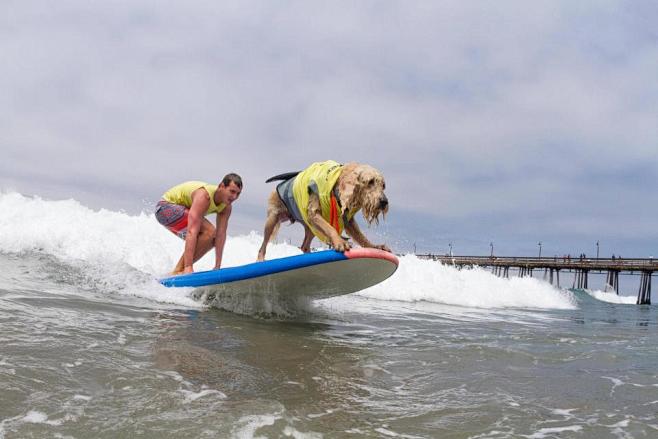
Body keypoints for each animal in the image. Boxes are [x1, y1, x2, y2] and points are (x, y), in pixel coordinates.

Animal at [256, 163, 390, 262]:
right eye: (370, 181)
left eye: (383, 185)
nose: (384, 202)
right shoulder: (314, 213)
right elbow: (330, 228)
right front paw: (340, 242)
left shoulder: (349, 222)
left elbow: (362, 238)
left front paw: (374, 247)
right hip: (272, 219)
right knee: (263, 246)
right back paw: (260, 259)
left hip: (310, 227)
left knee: (305, 246)